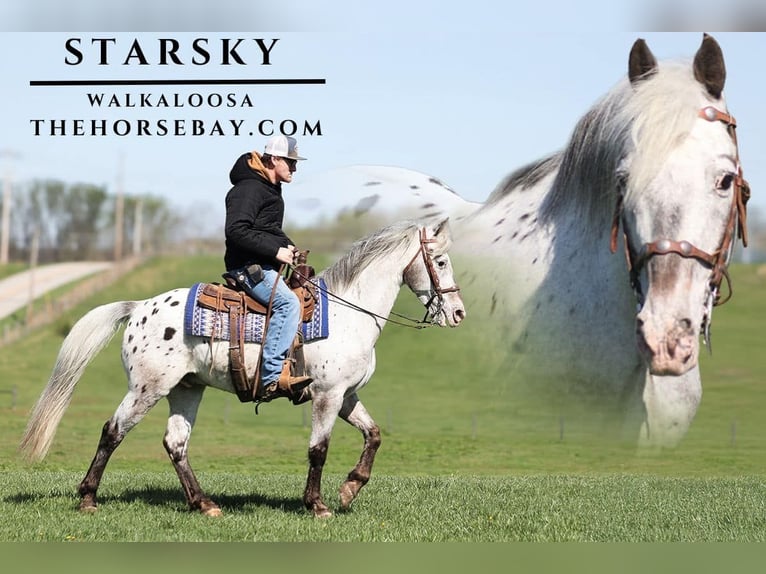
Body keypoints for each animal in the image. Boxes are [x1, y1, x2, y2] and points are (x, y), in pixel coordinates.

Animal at [20, 216, 466, 517]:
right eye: (441, 261)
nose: (459, 313)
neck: (346, 313)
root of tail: (138, 308)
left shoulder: (346, 395)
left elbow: (374, 435)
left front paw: (349, 489)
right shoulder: (327, 395)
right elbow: (318, 449)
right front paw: (317, 504)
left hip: (186, 389)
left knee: (175, 443)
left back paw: (204, 504)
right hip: (147, 389)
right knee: (113, 432)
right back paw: (88, 498)